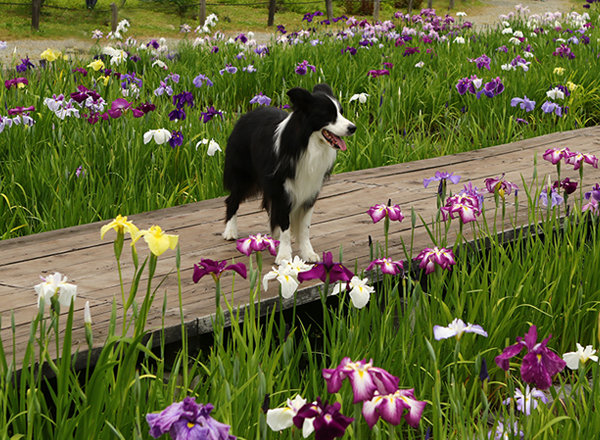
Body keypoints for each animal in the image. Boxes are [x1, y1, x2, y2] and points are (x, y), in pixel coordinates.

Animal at [224, 84, 356, 262]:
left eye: (341, 112)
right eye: (328, 115)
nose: (353, 128)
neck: (308, 145)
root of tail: (245, 115)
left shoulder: (309, 191)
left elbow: (304, 227)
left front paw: (308, 253)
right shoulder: (282, 191)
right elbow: (285, 225)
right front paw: (285, 256)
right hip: (243, 177)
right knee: (232, 199)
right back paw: (230, 232)